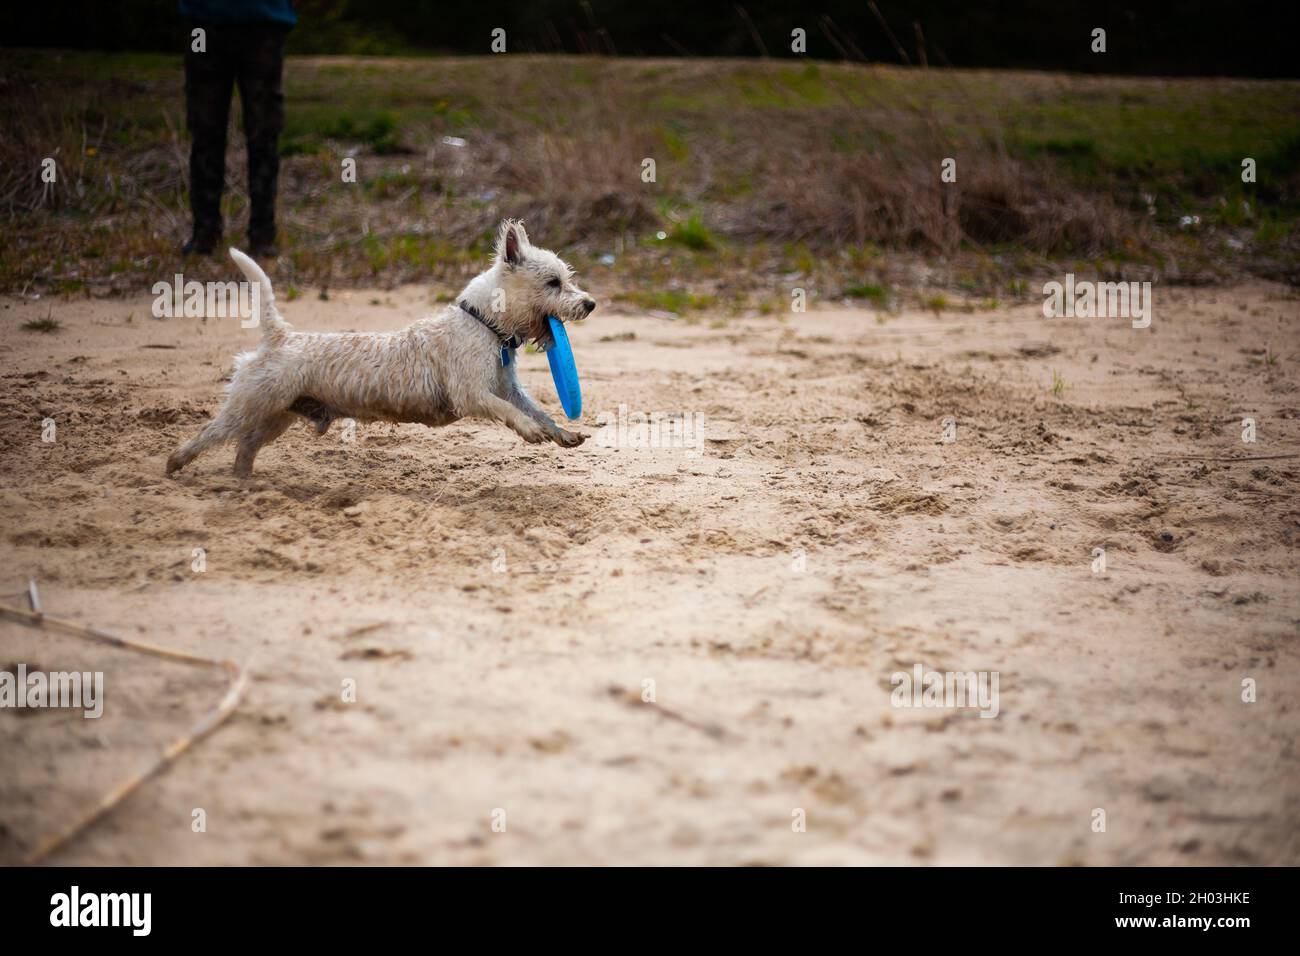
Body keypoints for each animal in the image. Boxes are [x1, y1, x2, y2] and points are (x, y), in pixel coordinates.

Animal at [166, 223, 595, 478]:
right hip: (250, 405)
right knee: (213, 434)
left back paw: (244, 482)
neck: (484, 324)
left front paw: (560, 432)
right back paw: (176, 463)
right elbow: (511, 413)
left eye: (567, 278)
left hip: (279, 415)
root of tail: (280, 337)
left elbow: (536, 409)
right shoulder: (471, 394)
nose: (590, 304)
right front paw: (531, 432)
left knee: (246, 445)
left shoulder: (508, 388)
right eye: (553, 282)